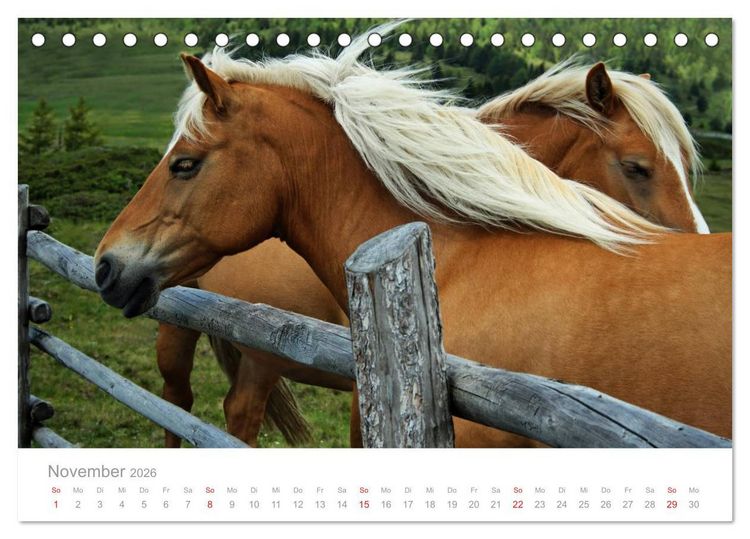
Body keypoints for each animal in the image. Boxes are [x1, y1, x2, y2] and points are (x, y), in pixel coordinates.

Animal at [94, 38, 731, 447]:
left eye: (183, 163)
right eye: (639, 166)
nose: (106, 265)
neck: (462, 256)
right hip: (189, 340)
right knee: (180, 409)